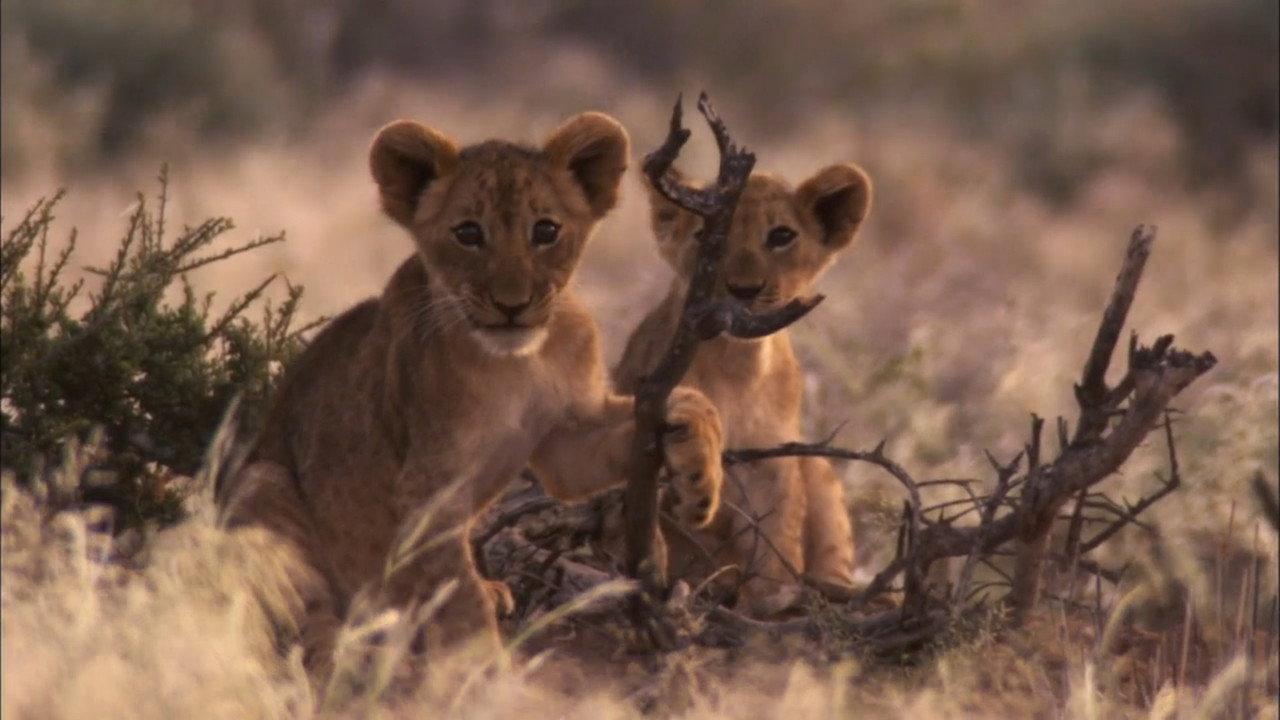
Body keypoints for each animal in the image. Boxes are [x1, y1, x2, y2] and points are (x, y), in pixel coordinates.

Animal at [216, 112, 725, 676]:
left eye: (545, 230)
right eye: (467, 233)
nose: (512, 305)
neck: (514, 365)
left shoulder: (568, 440)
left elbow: (693, 402)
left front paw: (699, 483)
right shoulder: (426, 490)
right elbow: (458, 597)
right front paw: (485, 670)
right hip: (262, 483)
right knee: (303, 622)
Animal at [613, 162, 872, 616]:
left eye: (781, 235)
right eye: (707, 236)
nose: (744, 289)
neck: (738, 363)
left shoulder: (773, 461)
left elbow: (779, 532)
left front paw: (773, 598)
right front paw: (698, 483)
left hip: (819, 469)